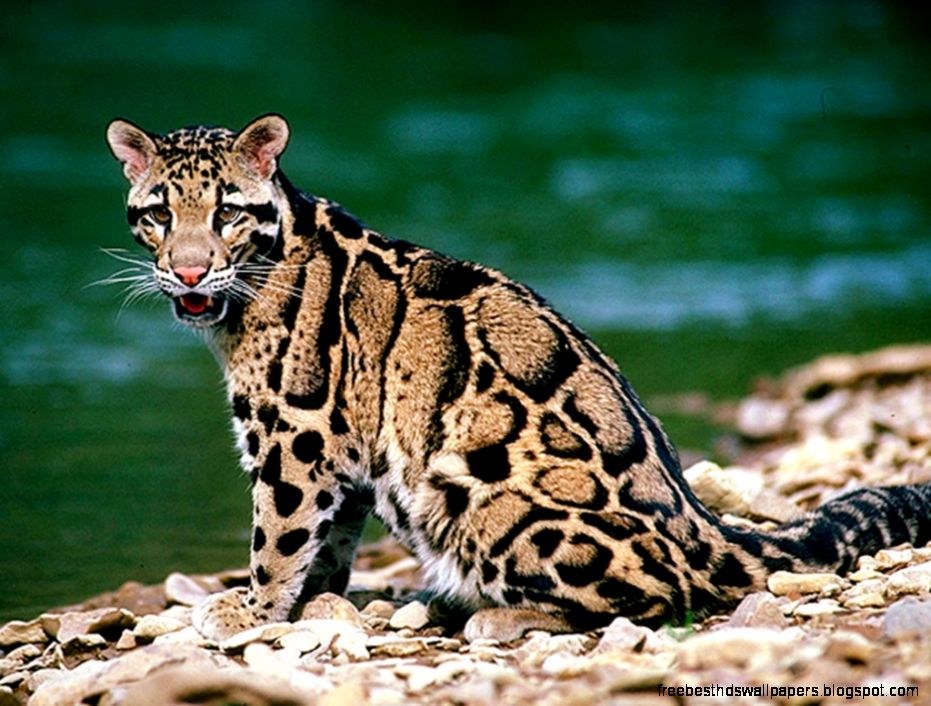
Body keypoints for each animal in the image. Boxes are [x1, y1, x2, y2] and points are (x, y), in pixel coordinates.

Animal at [105, 114, 931, 642]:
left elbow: (278, 533)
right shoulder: (342, 448)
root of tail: (703, 526)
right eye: (157, 214)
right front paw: (314, 604)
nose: (188, 269)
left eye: (226, 213)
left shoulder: (299, 433)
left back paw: (495, 614)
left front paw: (250, 612)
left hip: (477, 492)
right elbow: (328, 540)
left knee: (668, 597)